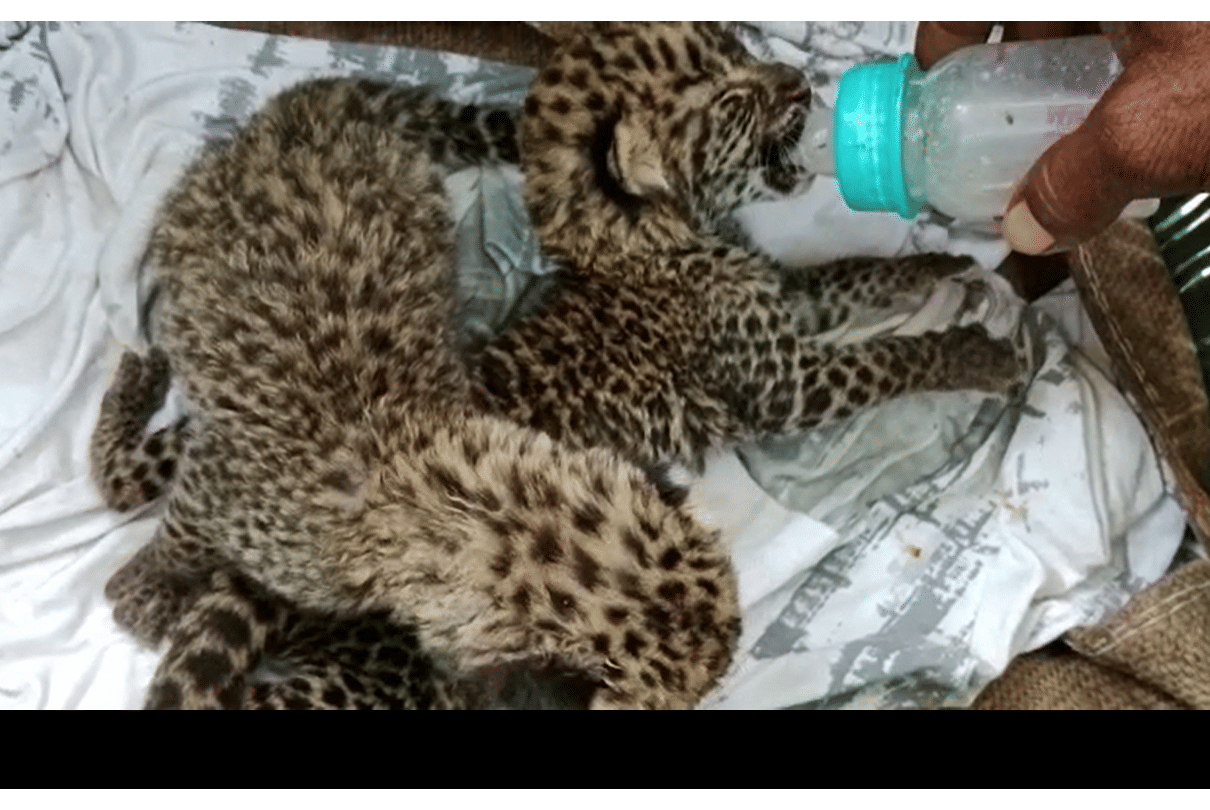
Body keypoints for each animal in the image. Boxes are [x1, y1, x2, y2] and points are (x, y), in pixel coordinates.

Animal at [93, 76, 741, 711]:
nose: (730, 659)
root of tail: (320, 113)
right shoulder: (221, 476)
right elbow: (182, 532)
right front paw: (151, 584)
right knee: (120, 476)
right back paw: (140, 376)